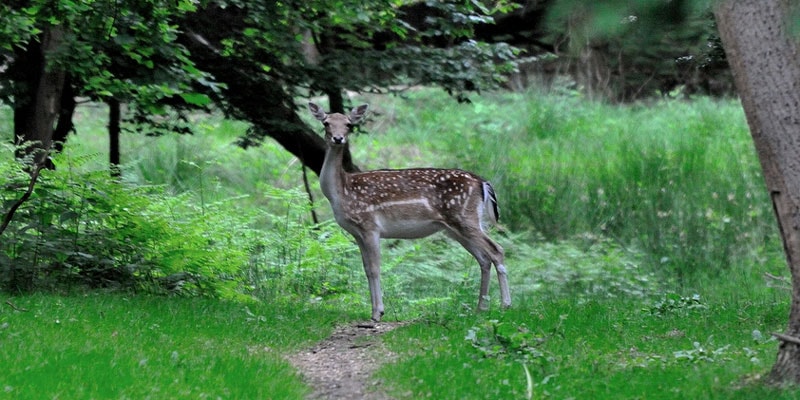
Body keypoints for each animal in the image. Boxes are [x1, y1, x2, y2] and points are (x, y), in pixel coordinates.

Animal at [310, 101, 510, 320]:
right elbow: (366, 269)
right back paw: (480, 308)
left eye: (348, 124)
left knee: (496, 250)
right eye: (326, 123)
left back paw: (505, 305)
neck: (341, 192)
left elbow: (375, 268)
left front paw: (378, 313)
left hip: (464, 217)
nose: (338, 138)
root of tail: (483, 182)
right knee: (483, 258)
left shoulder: (370, 225)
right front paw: (375, 311)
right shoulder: (357, 233)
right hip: (457, 226)